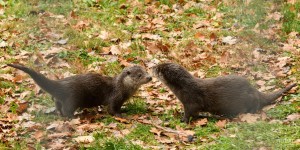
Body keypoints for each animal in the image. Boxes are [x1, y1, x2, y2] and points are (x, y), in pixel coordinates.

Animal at [7, 63, 152, 117]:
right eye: (140, 75)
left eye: (146, 71)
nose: (149, 77)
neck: (122, 88)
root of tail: (61, 83)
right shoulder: (115, 97)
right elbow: (111, 109)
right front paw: (120, 115)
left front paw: (124, 110)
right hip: (73, 98)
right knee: (66, 109)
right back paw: (72, 116)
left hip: (60, 99)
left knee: (58, 104)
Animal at [152, 62, 296, 122]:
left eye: (158, 69)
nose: (153, 66)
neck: (184, 88)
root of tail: (254, 90)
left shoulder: (190, 101)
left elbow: (190, 112)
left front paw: (183, 120)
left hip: (248, 99)